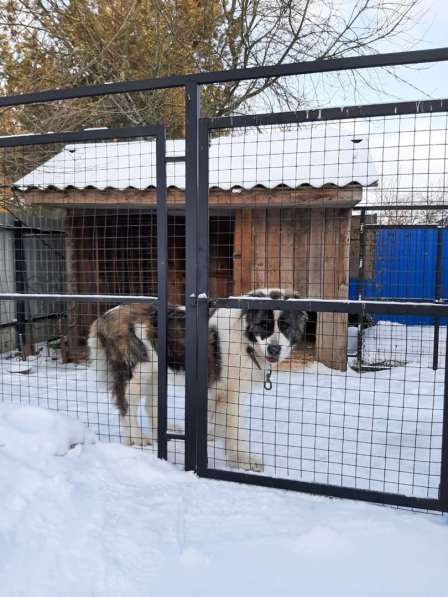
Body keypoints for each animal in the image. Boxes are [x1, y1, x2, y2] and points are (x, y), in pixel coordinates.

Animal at [87, 288, 308, 470]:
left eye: (286, 326)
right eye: (264, 325)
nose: (274, 349)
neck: (246, 341)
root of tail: (105, 316)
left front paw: (210, 436)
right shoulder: (230, 394)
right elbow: (234, 430)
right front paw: (242, 460)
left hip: (155, 372)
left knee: (150, 405)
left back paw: (165, 430)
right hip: (137, 372)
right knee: (126, 406)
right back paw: (137, 438)